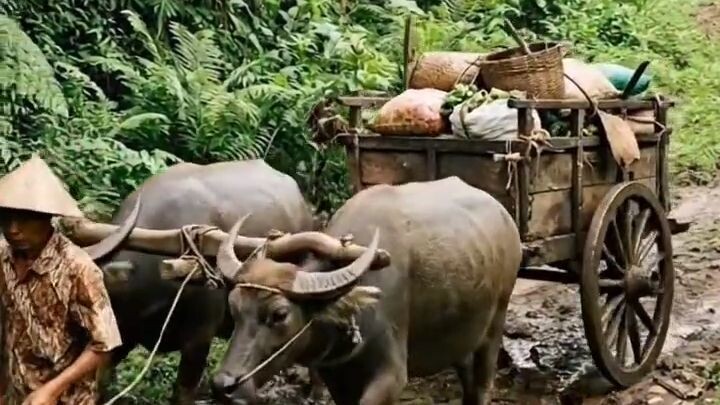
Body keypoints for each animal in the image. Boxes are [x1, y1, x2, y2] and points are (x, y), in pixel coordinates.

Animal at [211, 176, 523, 405]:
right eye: (234, 309)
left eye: (279, 315)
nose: (223, 386)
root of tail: (505, 218)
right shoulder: (336, 375)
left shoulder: (391, 374)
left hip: (496, 320)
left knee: (482, 384)